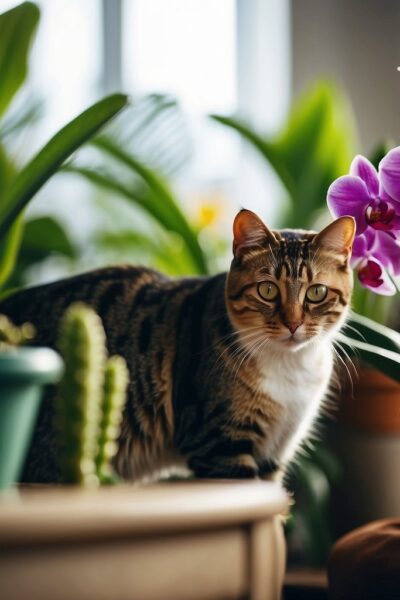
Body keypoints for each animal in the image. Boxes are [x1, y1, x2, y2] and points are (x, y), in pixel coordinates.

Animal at [0, 211, 356, 482]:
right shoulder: (219, 445)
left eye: (316, 293)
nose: (293, 324)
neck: (290, 369)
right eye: (267, 290)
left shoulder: (275, 452)